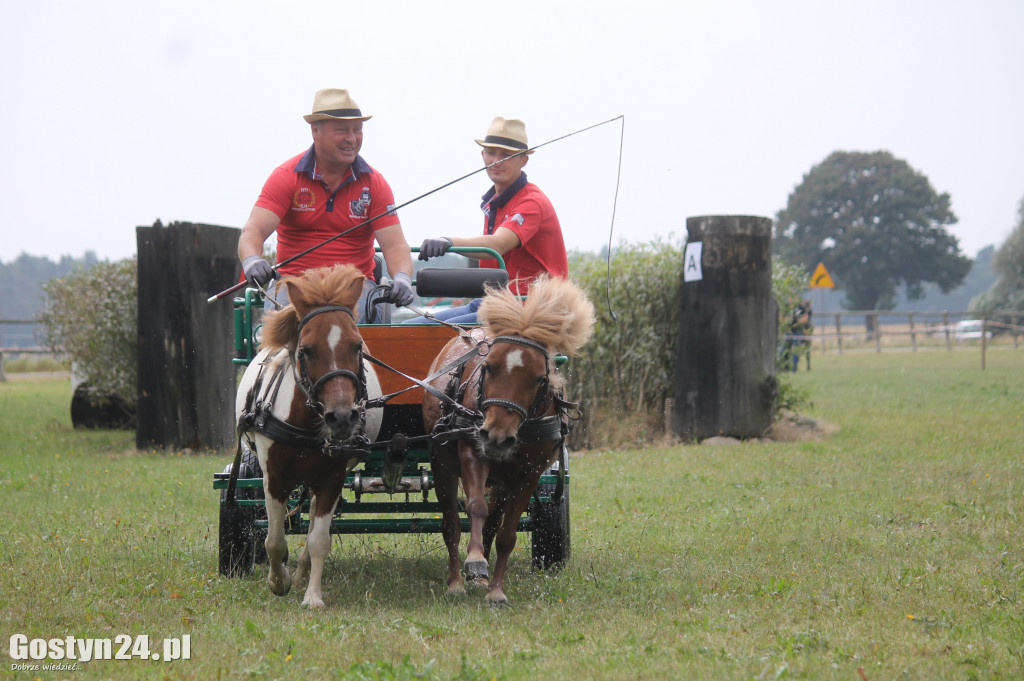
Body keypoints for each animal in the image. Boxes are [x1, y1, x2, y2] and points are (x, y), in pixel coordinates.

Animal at [235, 262, 385, 606]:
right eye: (306, 350)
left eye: (358, 345)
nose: (341, 417)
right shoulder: (274, 476)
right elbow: (274, 540)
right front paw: (278, 581)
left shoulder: (332, 476)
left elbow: (319, 540)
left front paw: (313, 597)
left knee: (315, 516)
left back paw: (303, 572)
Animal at [423, 274, 598, 602]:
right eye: (489, 367)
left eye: (540, 378)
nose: (496, 437)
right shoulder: (471, 453)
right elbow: (474, 508)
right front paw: (474, 560)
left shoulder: (529, 474)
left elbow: (506, 534)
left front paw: (495, 590)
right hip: (442, 465)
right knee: (451, 523)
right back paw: (456, 582)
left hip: (502, 479)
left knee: (492, 522)